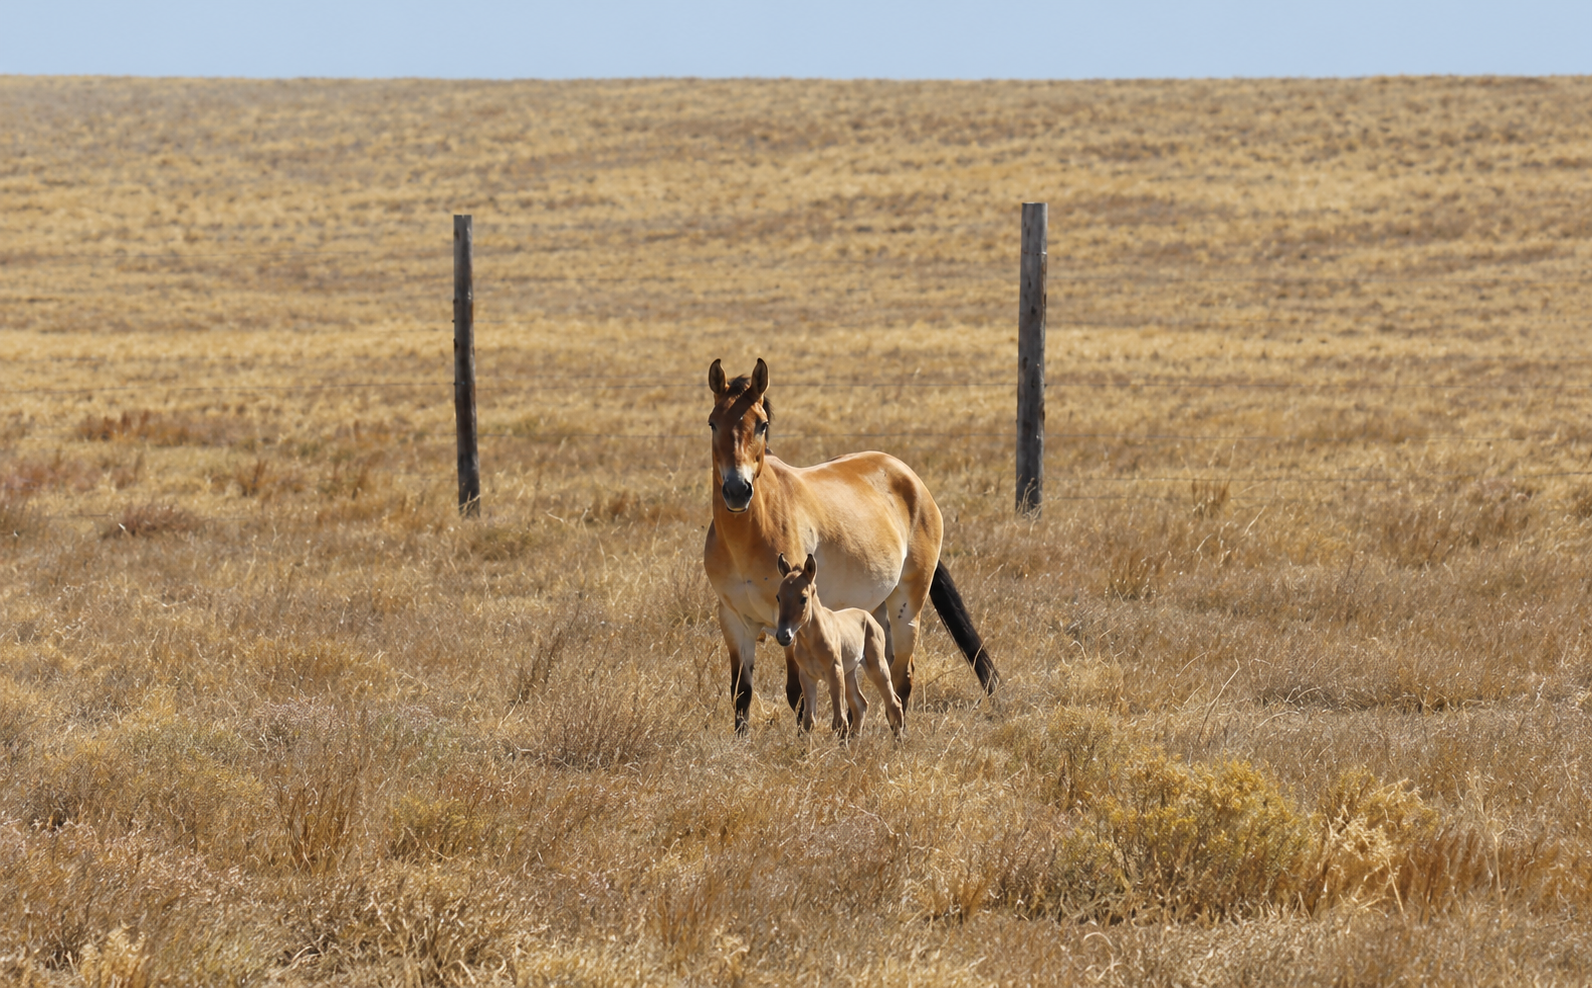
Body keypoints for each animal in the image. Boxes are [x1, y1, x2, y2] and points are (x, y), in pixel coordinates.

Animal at [773, 551, 904, 738]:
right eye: (779, 596)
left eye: (803, 598)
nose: (784, 636)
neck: (811, 642)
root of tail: (869, 616)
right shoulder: (807, 676)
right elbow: (809, 721)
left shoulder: (834, 672)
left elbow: (839, 722)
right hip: (849, 672)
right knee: (860, 705)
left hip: (876, 667)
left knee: (894, 703)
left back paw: (898, 742)